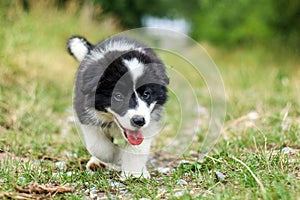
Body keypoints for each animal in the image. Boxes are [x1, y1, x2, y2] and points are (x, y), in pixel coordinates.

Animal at [67, 36, 169, 178]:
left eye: (146, 94)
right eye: (118, 96)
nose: (138, 121)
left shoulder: (150, 120)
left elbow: (138, 147)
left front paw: (134, 173)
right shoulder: (84, 113)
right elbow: (99, 147)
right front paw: (118, 154)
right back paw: (97, 163)